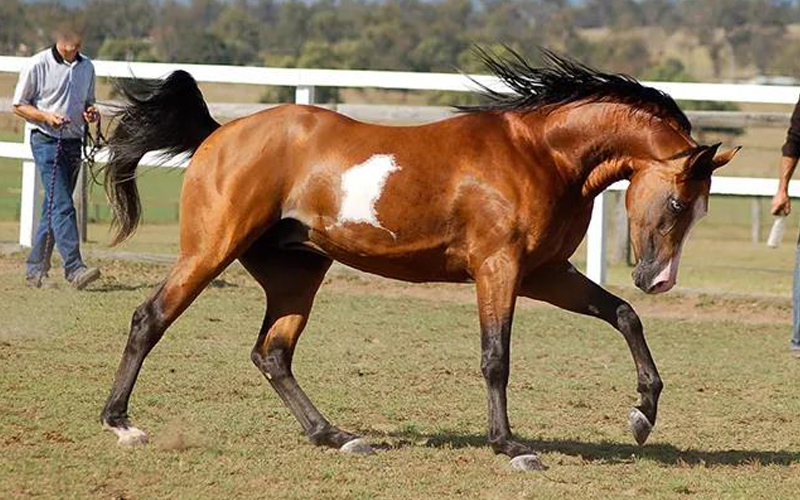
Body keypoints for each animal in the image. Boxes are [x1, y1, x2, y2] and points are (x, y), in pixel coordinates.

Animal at [98, 48, 736, 470]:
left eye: (703, 209)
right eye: (678, 201)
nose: (658, 279)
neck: (542, 155)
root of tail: (218, 135)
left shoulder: (545, 273)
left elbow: (624, 315)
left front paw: (642, 415)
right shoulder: (498, 268)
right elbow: (496, 358)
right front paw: (511, 447)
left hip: (297, 274)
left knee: (272, 353)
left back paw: (337, 436)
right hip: (210, 250)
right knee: (150, 319)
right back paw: (122, 425)